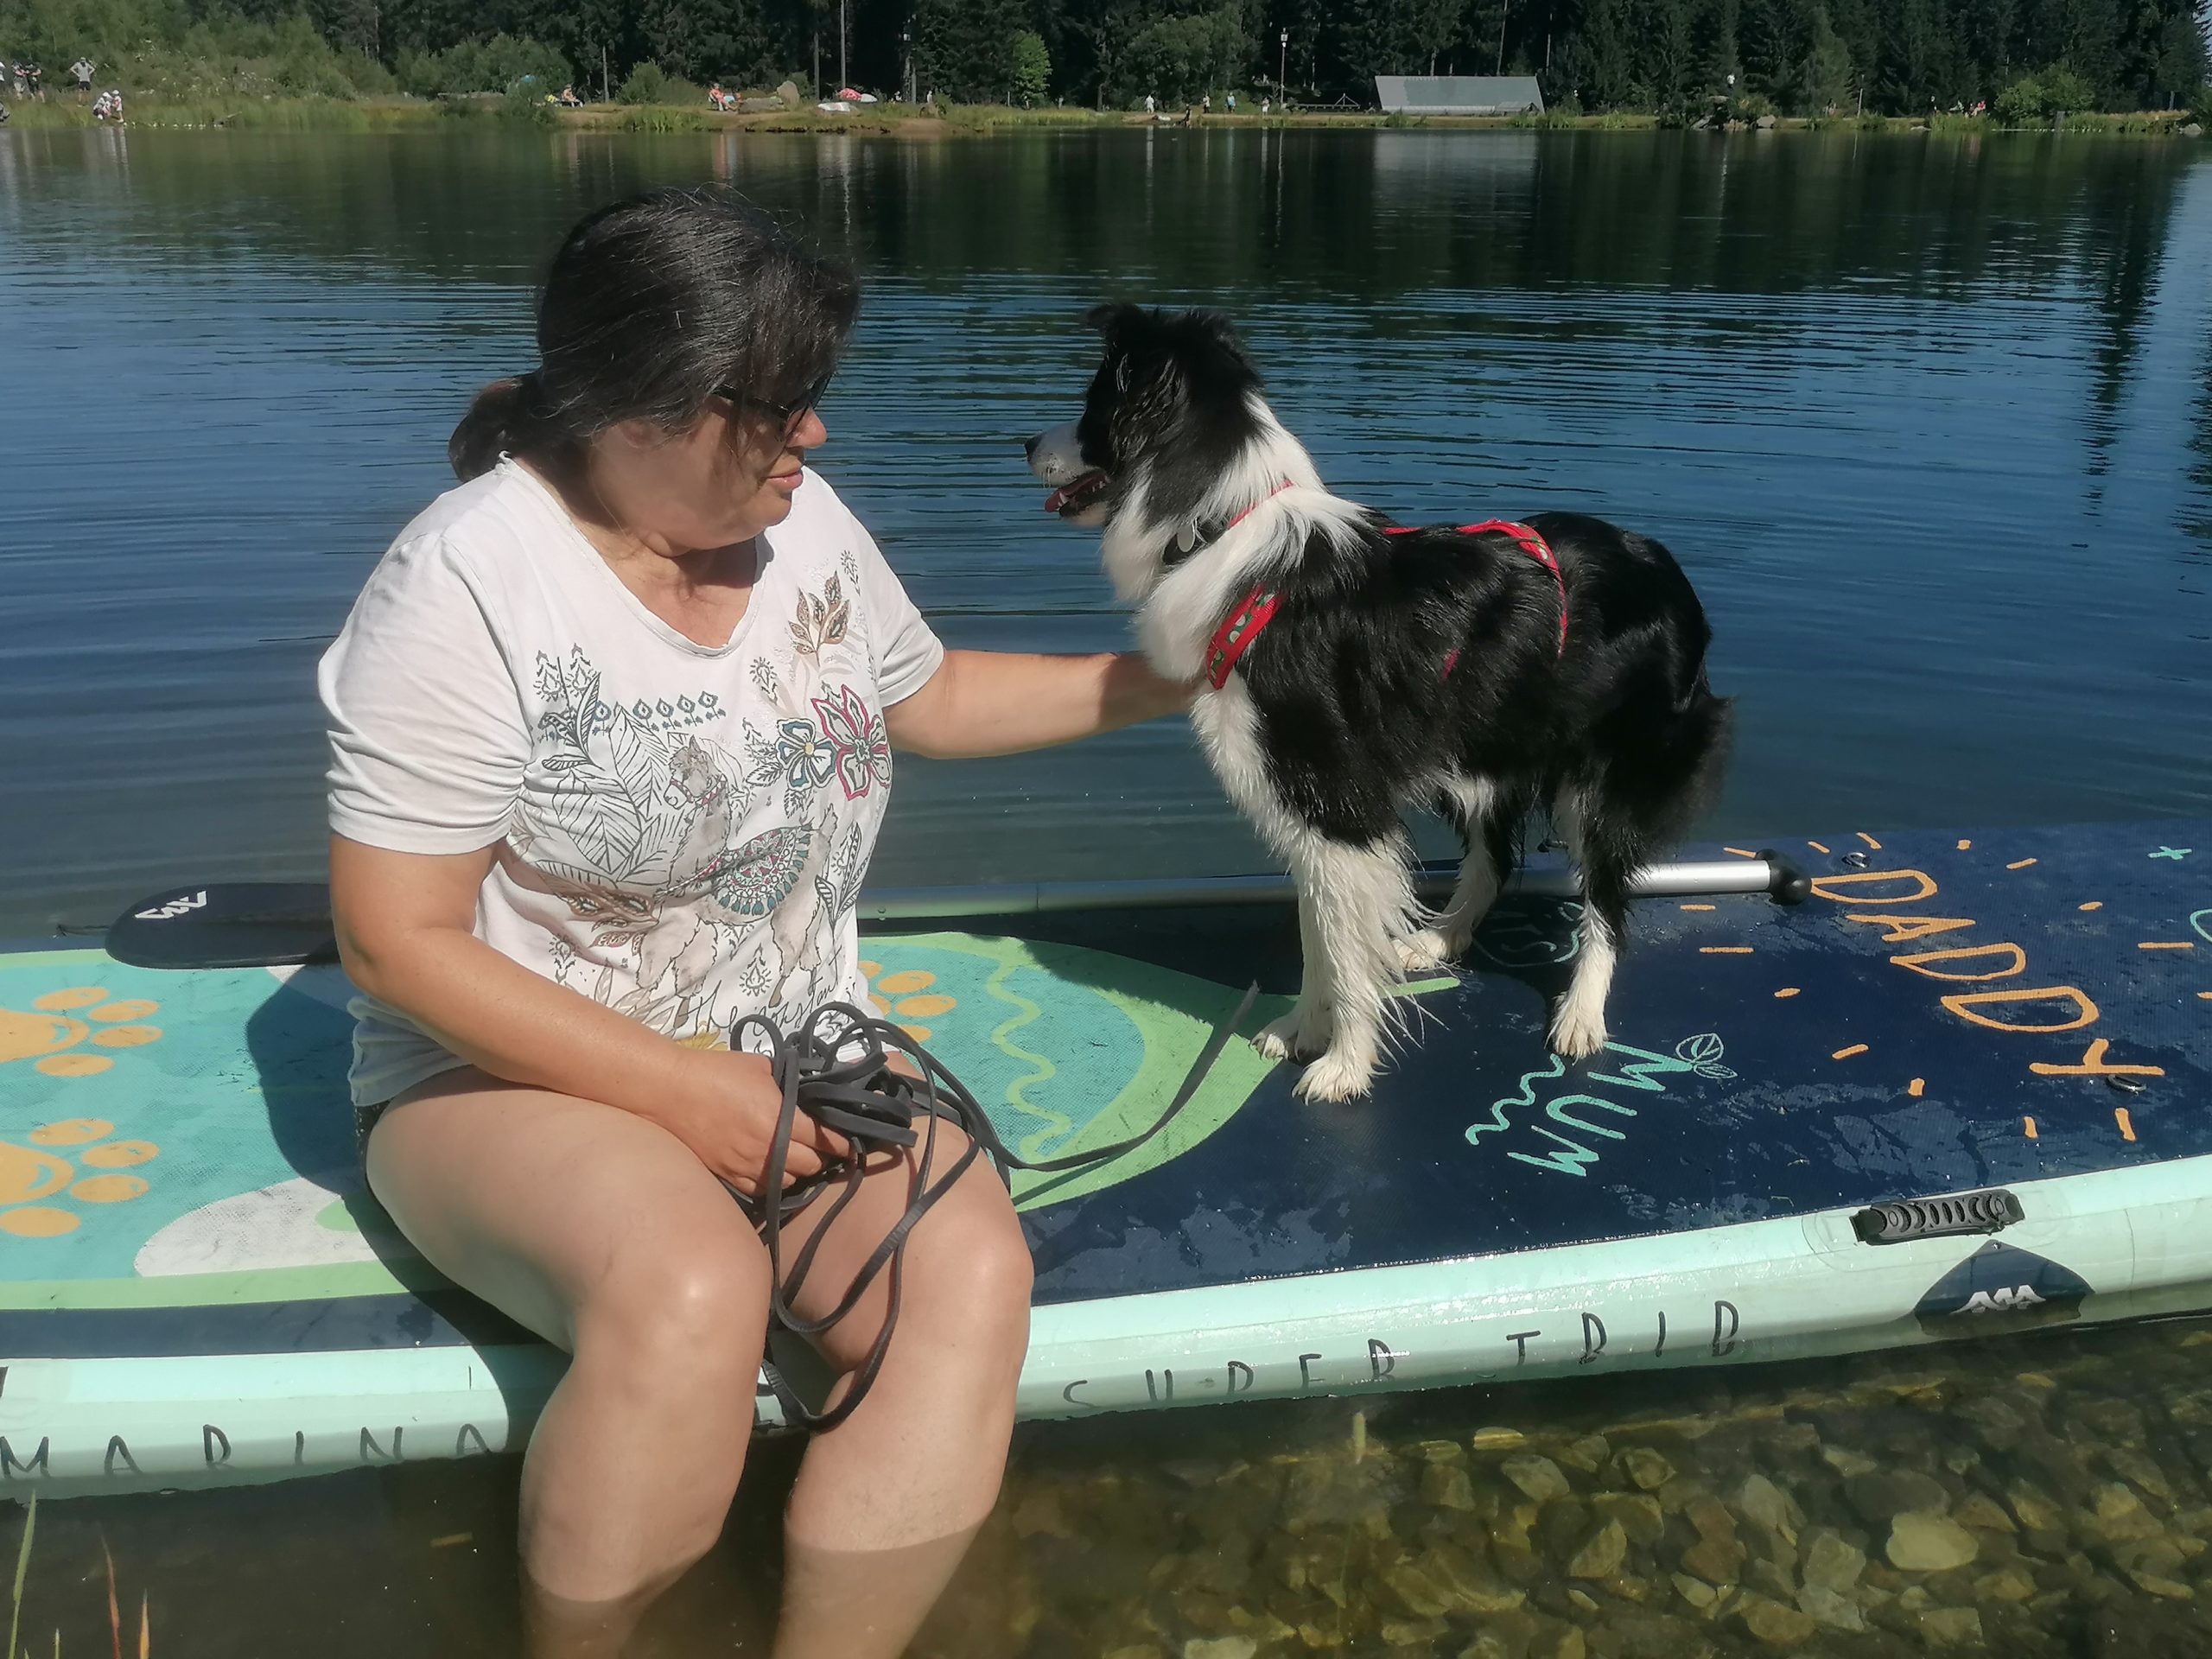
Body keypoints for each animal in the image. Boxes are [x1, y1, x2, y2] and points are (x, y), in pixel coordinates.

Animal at [1027, 305, 1731, 1101]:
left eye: (1094, 405)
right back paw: (1441, 937)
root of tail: (1665, 566)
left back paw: (1581, 1013)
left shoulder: (1338, 801)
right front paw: (1303, 1028)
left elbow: (1343, 947)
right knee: (1492, 860)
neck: (1220, 525)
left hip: (1604, 775)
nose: (1026, 444)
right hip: (1480, 748)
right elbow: (1319, 933)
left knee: (1606, 897)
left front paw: (1344, 1065)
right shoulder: (1306, 807)